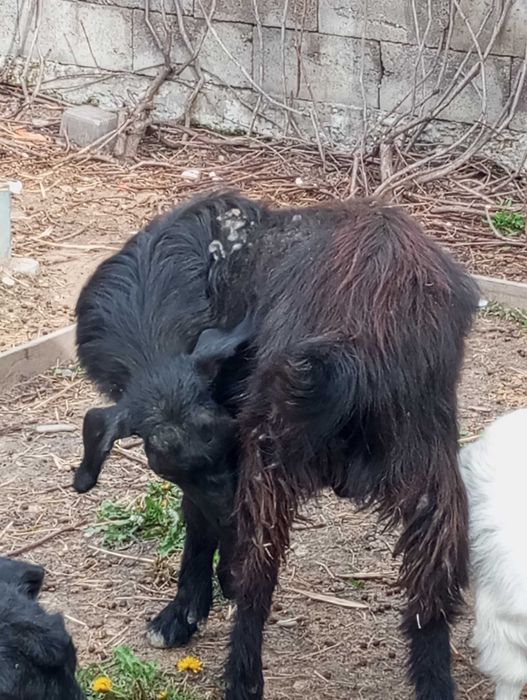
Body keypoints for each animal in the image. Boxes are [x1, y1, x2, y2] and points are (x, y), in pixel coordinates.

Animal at [73, 191, 479, 699]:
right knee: (430, 602)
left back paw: (240, 675)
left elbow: (196, 522)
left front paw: (184, 610)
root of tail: (356, 347)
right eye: (170, 465)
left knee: (256, 588)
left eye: (226, 440)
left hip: (270, 473)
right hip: (429, 475)